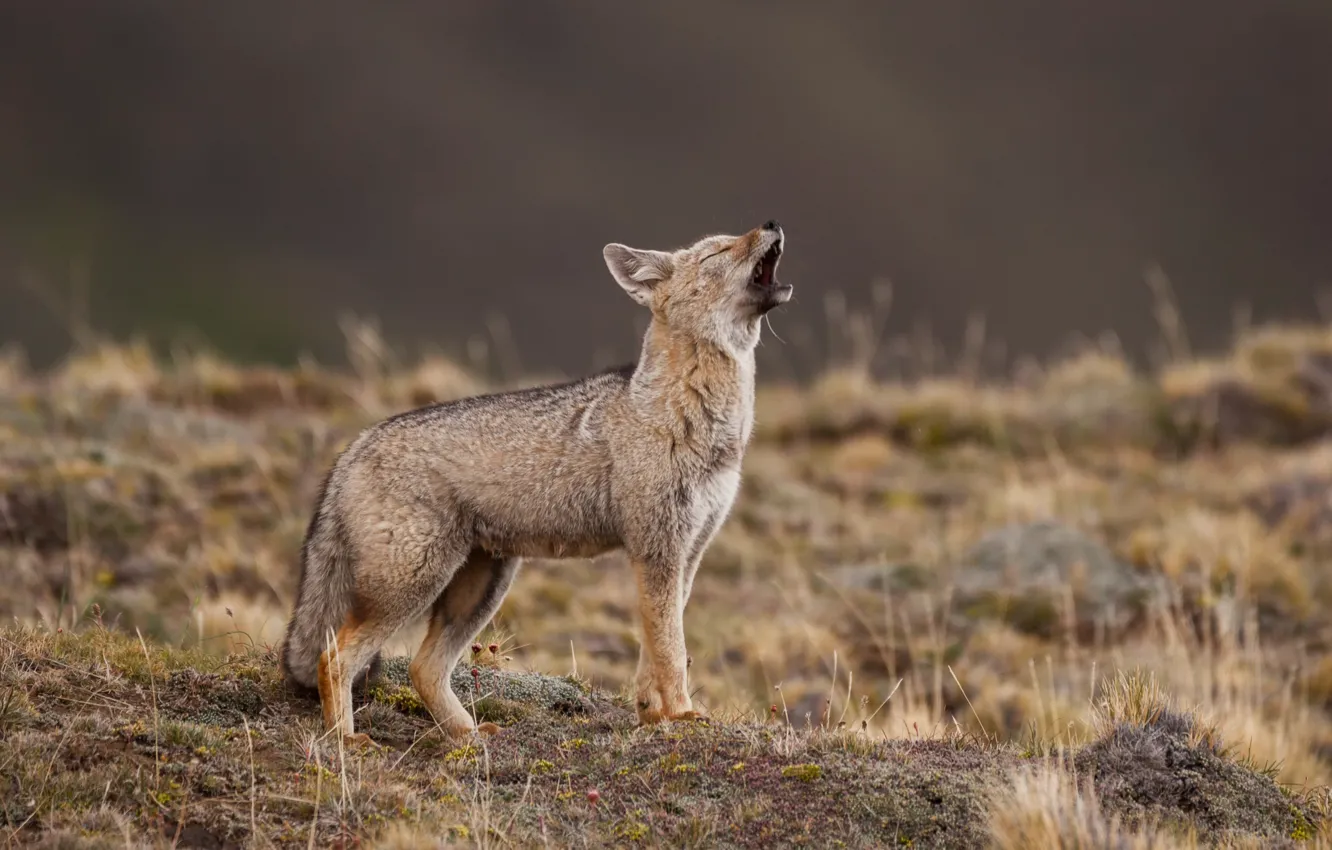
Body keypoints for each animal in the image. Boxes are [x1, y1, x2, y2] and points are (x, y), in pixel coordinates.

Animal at [279, 220, 791, 746]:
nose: (771, 223)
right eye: (718, 252)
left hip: (482, 588)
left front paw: (654, 715)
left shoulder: (687, 554)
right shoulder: (658, 552)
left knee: (423, 668)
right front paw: (682, 714)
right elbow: (671, 651)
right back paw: (343, 740)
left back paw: (468, 736)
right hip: (412, 587)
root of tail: (354, 446)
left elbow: (656, 650)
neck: (699, 422)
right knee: (333, 658)